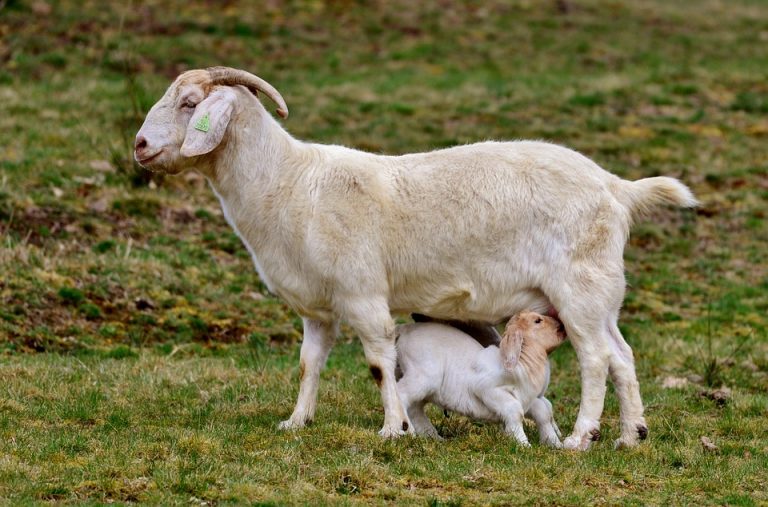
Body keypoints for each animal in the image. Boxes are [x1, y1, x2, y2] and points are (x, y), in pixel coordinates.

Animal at [396, 311, 566, 447]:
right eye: (538, 321)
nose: (561, 325)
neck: (522, 363)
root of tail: (402, 331)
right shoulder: (487, 388)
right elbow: (515, 410)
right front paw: (523, 443)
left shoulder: (528, 398)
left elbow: (544, 412)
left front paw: (555, 444)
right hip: (422, 376)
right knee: (401, 395)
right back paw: (404, 432)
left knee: (415, 408)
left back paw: (433, 437)